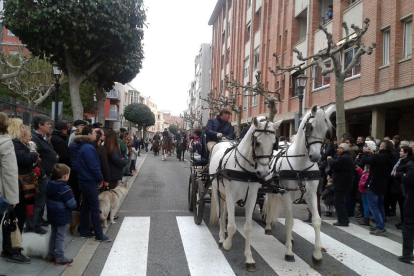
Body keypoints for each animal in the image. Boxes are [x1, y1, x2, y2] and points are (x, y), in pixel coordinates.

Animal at [210, 116, 282, 272]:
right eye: (257, 142)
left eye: (274, 144)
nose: (263, 173)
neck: (245, 170)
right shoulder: (231, 197)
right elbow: (232, 226)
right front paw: (227, 244)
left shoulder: (251, 199)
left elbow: (248, 228)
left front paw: (249, 258)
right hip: (217, 191)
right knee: (220, 213)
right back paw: (221, 237)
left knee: (224, 214)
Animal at [264, 104, 334, 266]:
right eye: (310, 127)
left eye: (326, 131)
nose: (316, 157)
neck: (300, 166)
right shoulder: (287, 193)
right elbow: (289, 222)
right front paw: (289, 253)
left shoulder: (311, 194)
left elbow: (316, 221)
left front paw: (317, 255)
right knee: (268, 204)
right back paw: (268, 225)